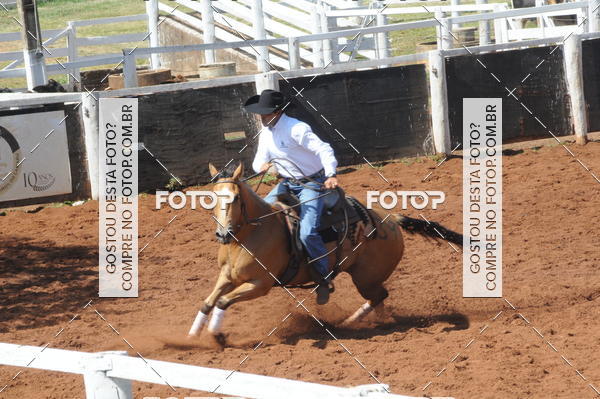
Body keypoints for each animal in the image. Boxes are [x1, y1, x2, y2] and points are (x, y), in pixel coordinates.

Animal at [189, 161, 464, 342]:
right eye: (211, 197)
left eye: (235, 198)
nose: (223, 234)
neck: (250, 235)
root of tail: (390, 220)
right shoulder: (227, 276)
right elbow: (207, 302)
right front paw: (191, 336)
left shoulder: (260, 284)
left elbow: (222, 301)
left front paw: (216, 335)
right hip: (367, 279)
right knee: (378, 300)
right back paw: (363, 322)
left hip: (366, 278)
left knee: (378, 296)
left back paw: (350, 323)